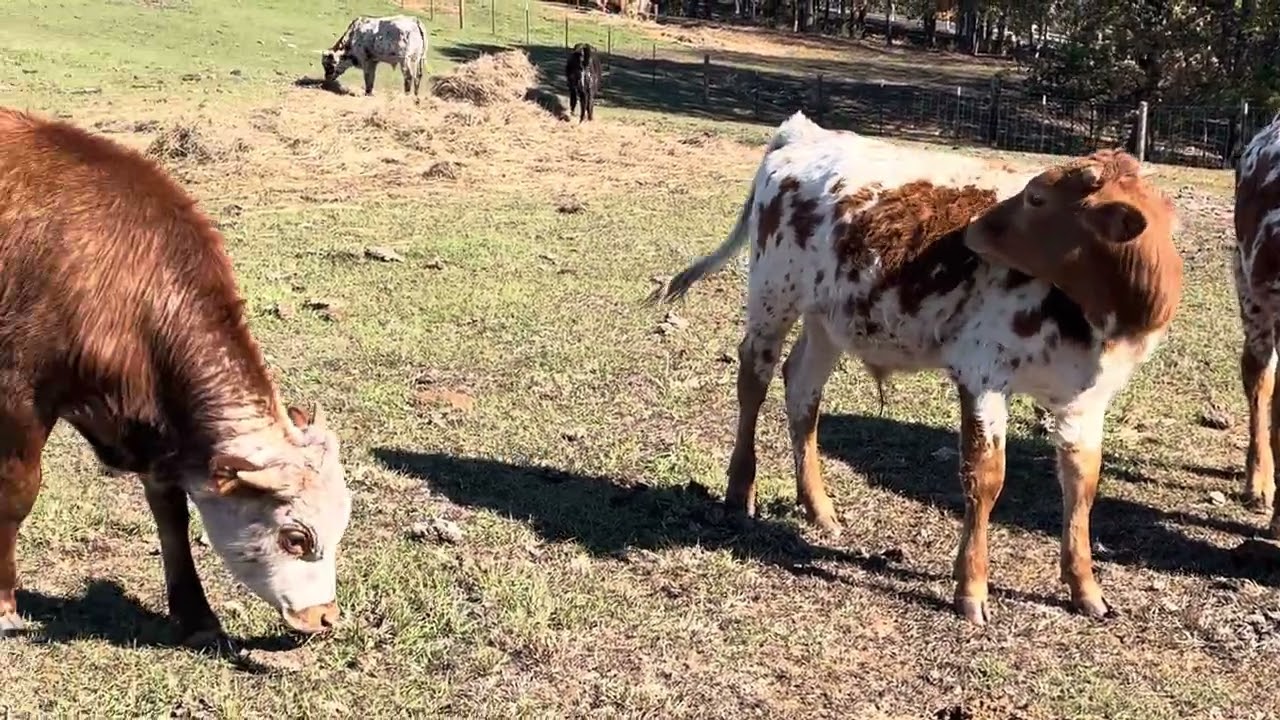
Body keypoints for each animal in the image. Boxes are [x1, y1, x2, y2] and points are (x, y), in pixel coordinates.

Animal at [0, 107, 353, 645]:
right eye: (295, 537)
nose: (324, 618)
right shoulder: (20, 390)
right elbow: (18, 493)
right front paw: (3, 603)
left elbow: (171, 512)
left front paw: (196, 614)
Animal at [649, 112, 1183, 625]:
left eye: (1035, 198)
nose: (972, 230)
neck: (1091, 318)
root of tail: (803, 133)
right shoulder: (982, 372)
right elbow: (985, 476)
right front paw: (971, 588)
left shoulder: (1087, 400)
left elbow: (1082, 483)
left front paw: (1085, 588)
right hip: (771, 296)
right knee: (753, 381)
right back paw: (739, 491)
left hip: (828, 319)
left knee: (802, 390)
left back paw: (818, 508)